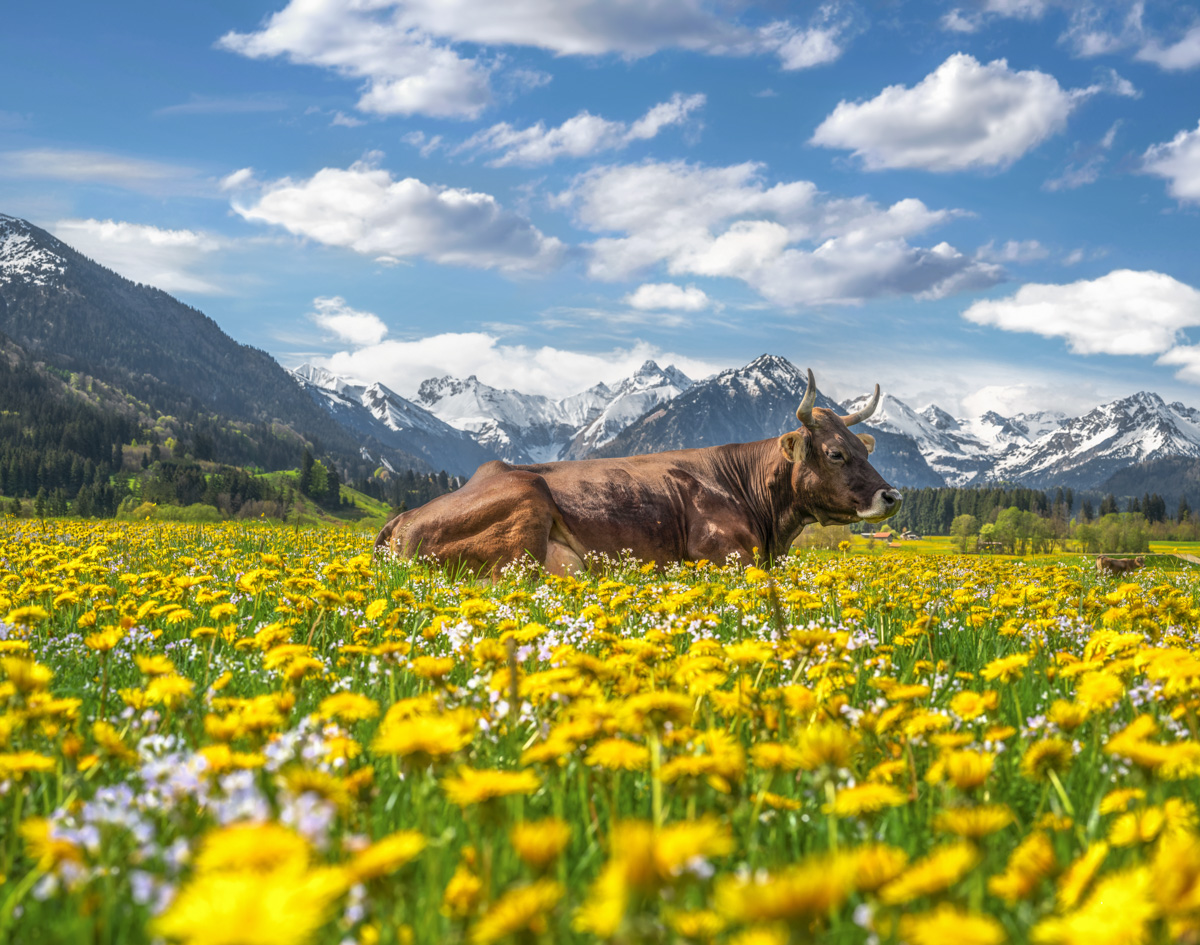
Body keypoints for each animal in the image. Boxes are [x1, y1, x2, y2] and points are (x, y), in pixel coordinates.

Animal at [374, 369, 902, 575]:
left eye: (863, 449)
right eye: (835, 453)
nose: (892, 497)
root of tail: (403, 519)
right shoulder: (723, 555)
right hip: (527, 504)